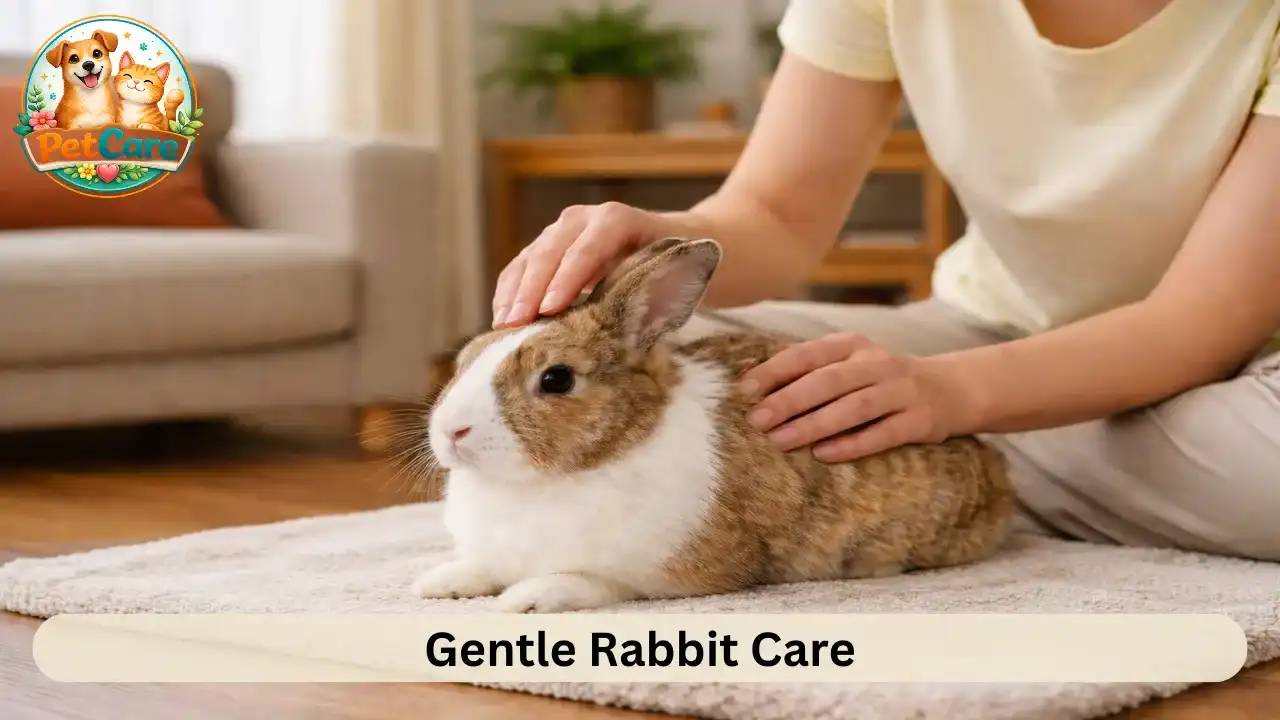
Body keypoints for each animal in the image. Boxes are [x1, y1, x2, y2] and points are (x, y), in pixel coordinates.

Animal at [412, 237, 1016, 613]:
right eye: (466, 357)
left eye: (557, 380)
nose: (451, 433)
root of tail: (999, 474)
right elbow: (481, 565)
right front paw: (439, 583)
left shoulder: (658, 573)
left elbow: (593, 581)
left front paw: (527, 599)